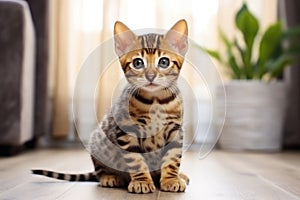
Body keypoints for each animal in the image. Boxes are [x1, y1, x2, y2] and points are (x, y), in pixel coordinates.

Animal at [31, 19, 189, 193]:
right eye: (138, 63)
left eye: (164, 62)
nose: (150, 76)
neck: (156, 100)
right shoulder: (126, 131)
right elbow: (136, 160)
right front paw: (141, 181)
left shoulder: (175, 131)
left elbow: (173, 159)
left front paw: (171, 179)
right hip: (98, 142)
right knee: (100, 171)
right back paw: (110, 177)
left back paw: (179, 175)